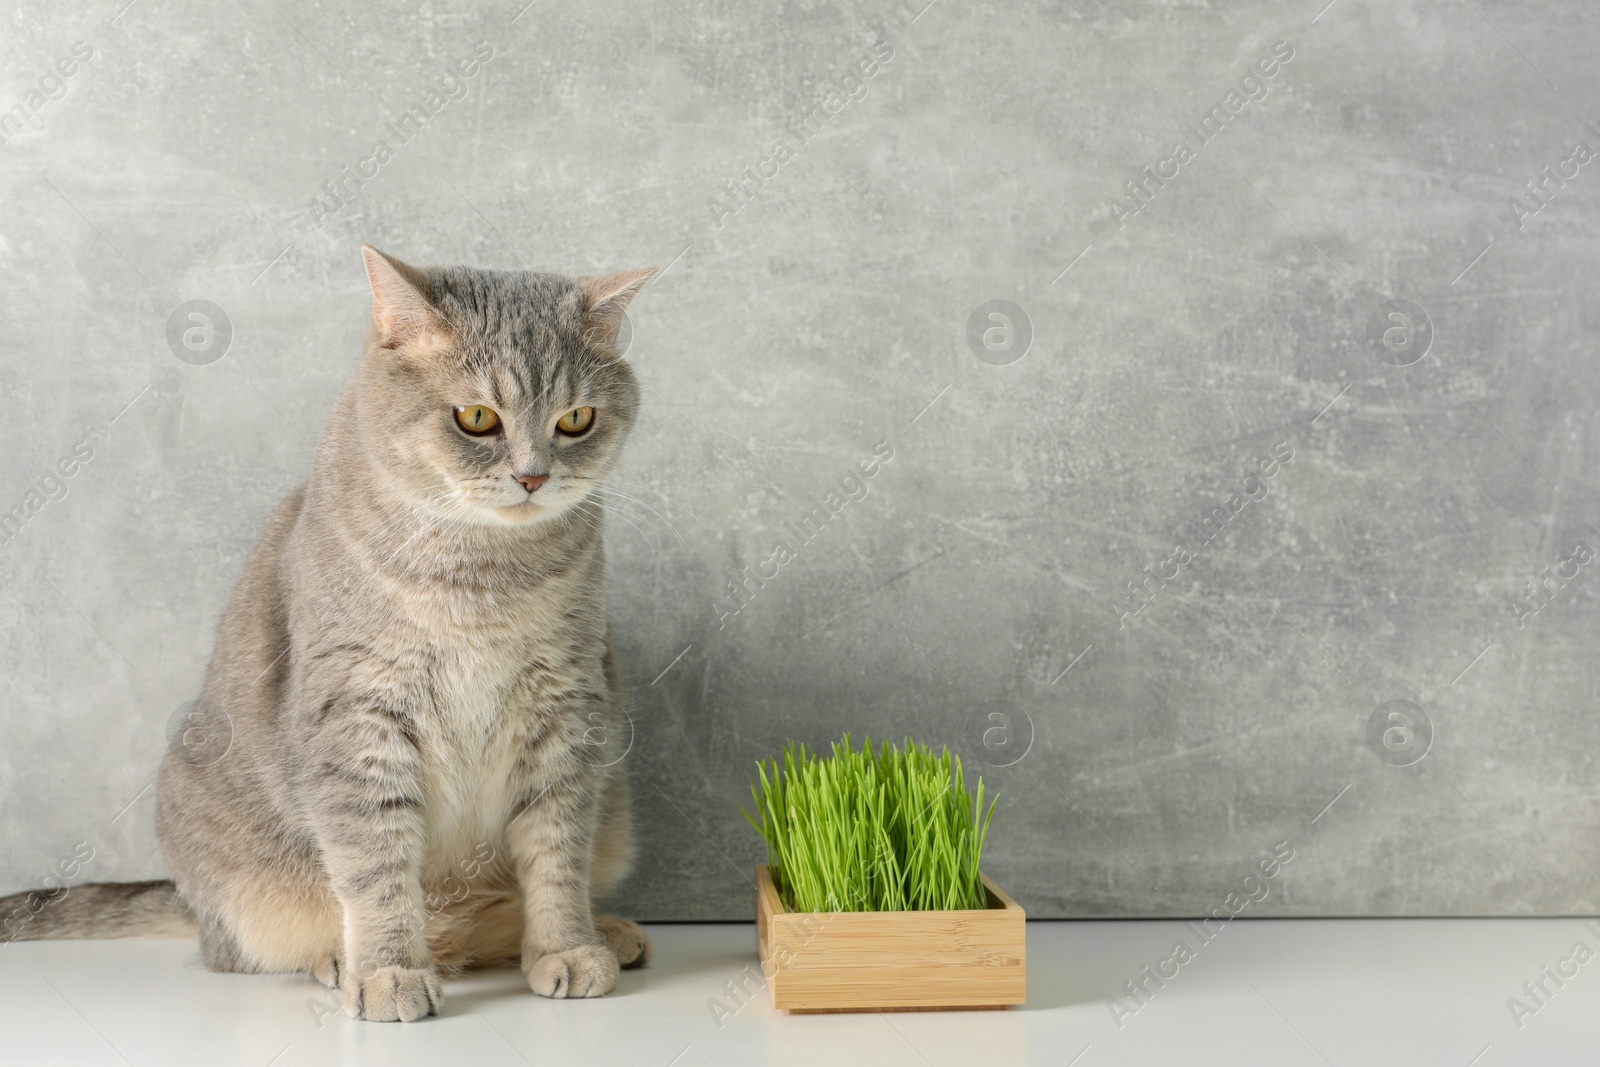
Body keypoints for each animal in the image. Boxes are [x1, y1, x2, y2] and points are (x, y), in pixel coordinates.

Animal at [0, 246, 659, 1023]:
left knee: (484, 923)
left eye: (577, 419)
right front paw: (388, 969)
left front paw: (567, 946)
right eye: (477, 418)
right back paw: (343, 960)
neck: (482, 578)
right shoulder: (357, 717)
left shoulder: (567, 710)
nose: (533, 476)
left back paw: (606, 931)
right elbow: (377, 866)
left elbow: (557, 855)